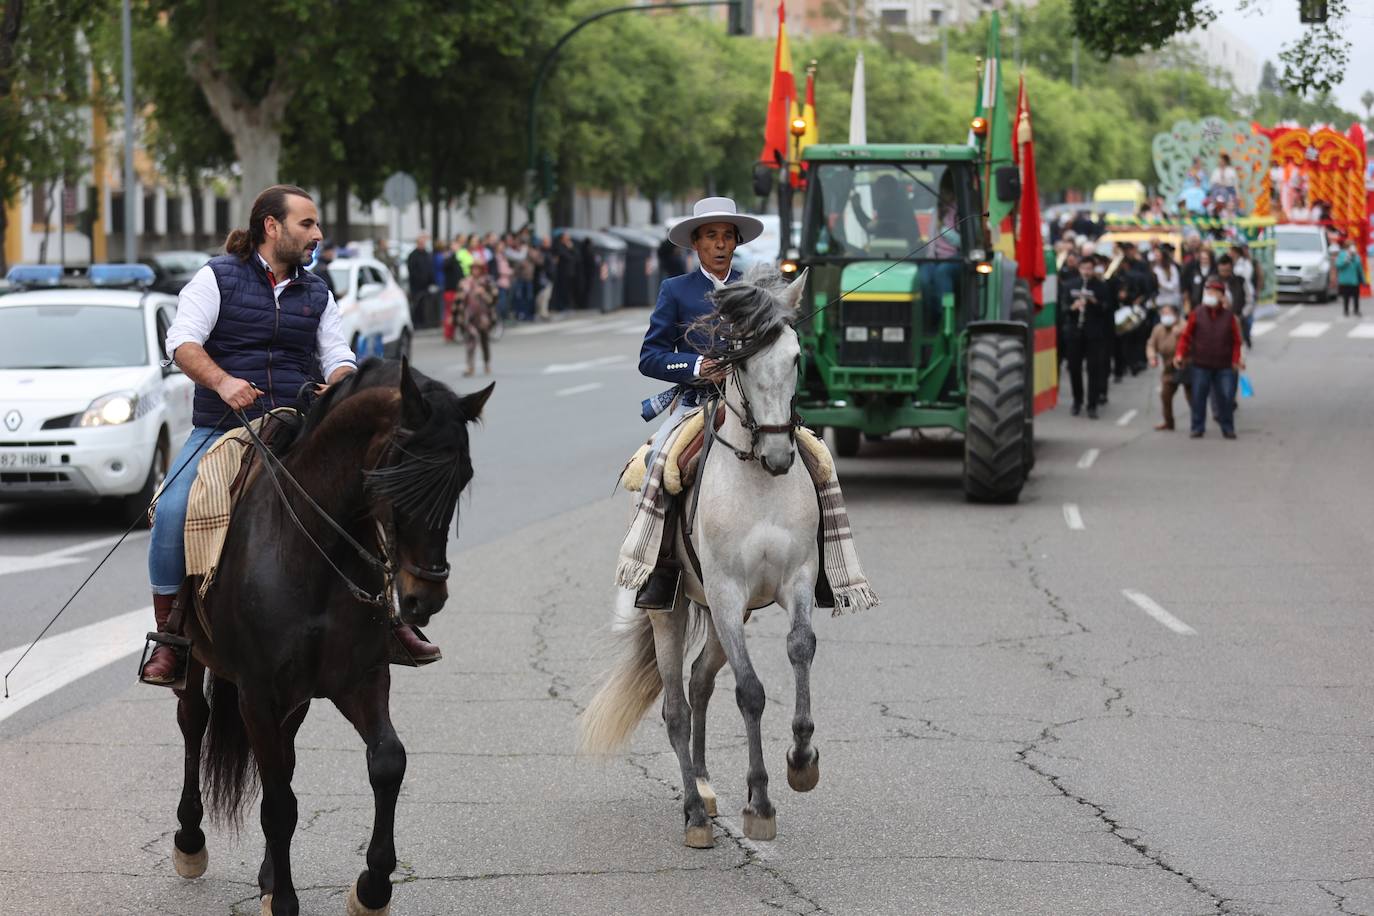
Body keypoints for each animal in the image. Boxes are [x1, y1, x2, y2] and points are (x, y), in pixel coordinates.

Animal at [166, 359, 491, 916]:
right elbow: (278, 803)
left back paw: (268, 873)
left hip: (294, 698)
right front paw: (285, 901)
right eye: (399, 475)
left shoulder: (359, 678)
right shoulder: (257, 692)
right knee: (195, 721)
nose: (425, 597)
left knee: (283, 757)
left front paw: (372, 887)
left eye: (463, 477)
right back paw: (190, 842)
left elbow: (387, 762)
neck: (311, 551)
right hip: (197, 659)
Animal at [577, 269, 813, 851]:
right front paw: (761, 802)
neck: (759, 482)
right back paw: (694, 814)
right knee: (676, 708)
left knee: (700, 683)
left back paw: (705, 788)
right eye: (741, 359)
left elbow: (800, 649)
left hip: (726, 614)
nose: (780, 456)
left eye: (796, 357)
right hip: (675, 608)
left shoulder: (794, 581)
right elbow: (751, 692)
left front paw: (801, 760)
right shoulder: (727, 591)